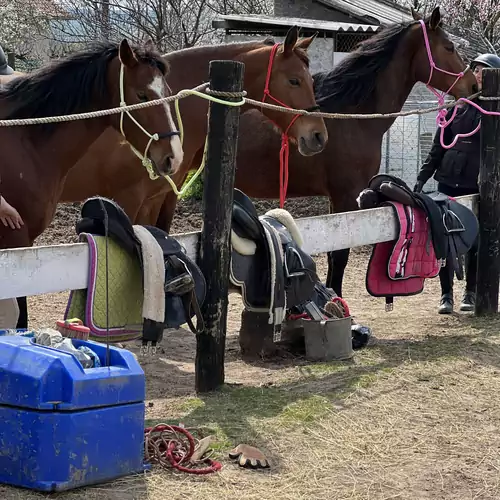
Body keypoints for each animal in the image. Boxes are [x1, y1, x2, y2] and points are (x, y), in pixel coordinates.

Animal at [154, 4, 478, 296]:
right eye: (449, 47)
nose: (473, 85)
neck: (350, 114)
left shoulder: (339, 198)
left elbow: (336, 256)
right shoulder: (346, 195)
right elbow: (340, 255)